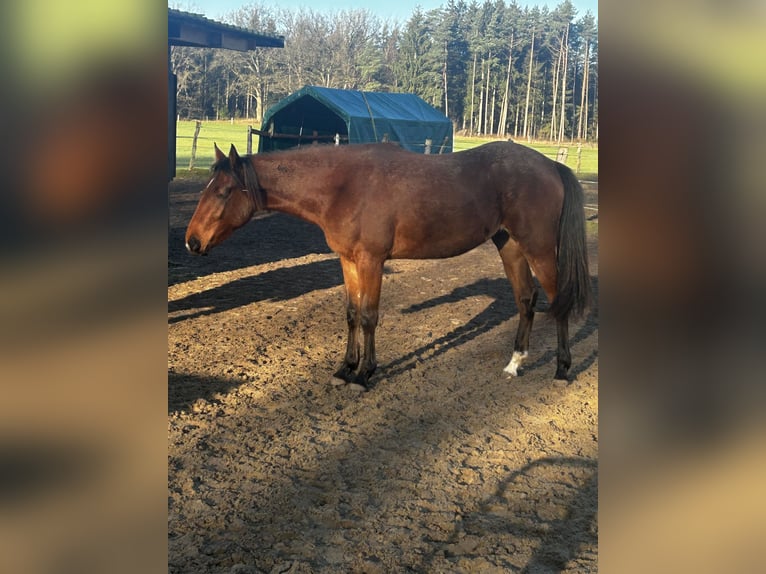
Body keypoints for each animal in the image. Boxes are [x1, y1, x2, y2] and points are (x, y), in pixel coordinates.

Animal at [185, 141, 590, 389]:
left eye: (223, 192)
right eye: (205, 188)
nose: (192, 242)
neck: (343, 187)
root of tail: (550, 165)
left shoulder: (371, 261)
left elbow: (369, 316)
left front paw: (364, 374)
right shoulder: (348, 261)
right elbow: (351, 314)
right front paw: (344, 369)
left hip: (539, 249)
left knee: (558, 301)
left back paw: (561, 369)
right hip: (511, 247)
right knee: (525, 300)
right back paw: (514, 363)